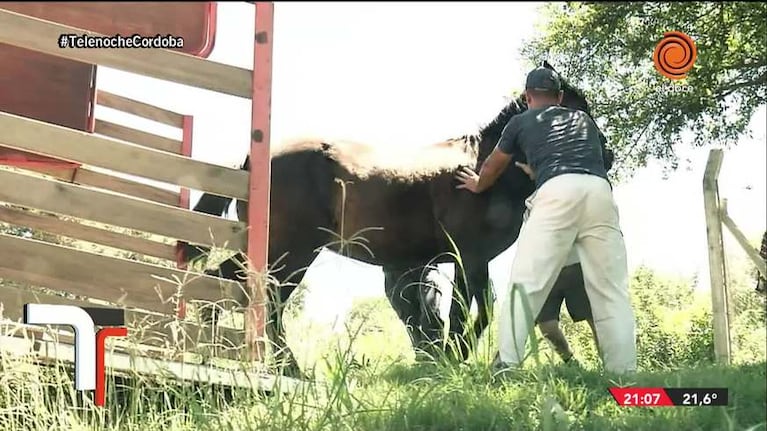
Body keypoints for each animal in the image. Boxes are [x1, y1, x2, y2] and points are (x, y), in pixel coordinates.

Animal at [182, 62, 612, 376]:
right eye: (576, 106)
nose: (607, 155)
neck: (483, 170)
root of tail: (251, 160)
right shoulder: (470, 256)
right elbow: (473, 310)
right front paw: (455, 355)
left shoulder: (464, 261)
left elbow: (465, 310)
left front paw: (450, 356)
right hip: (292, 252)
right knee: (266, 301)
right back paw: (289, 369)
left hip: (276, 250)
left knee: (228, 289)